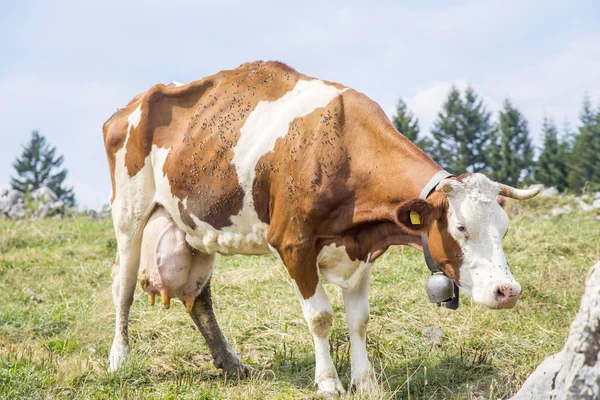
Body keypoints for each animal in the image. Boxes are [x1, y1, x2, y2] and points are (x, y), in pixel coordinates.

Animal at [103, 60, 540, 396]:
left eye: (504, 229)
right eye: (461, 227)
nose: (508, 291)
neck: (341, 150)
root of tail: (132, 105)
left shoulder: (362, 250)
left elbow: (359, 319)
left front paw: (366, 382)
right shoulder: (293, 244)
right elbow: (320, 317)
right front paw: (329, 382)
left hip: (196, 227)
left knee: (199, 297)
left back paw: (231, 363)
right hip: (129, 214)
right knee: (123, 286)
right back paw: (120, 359)